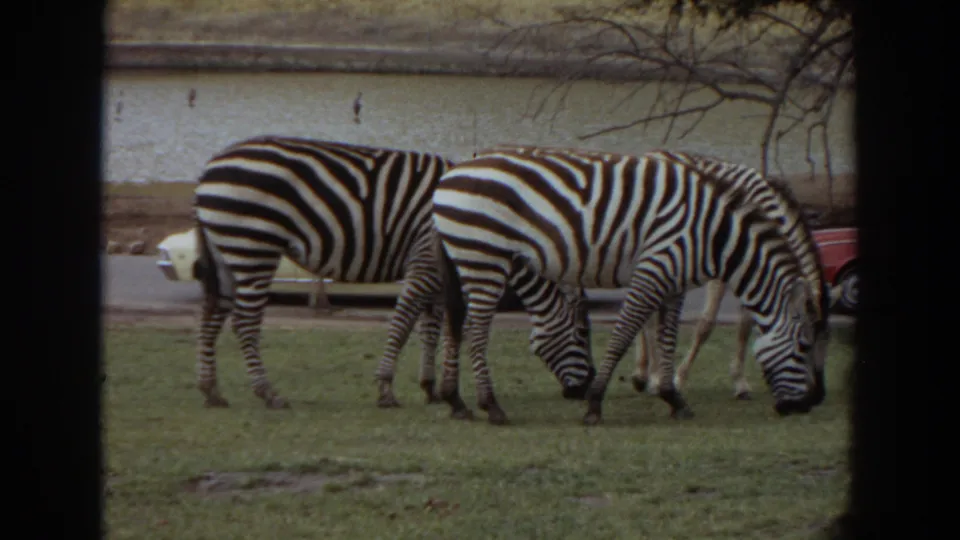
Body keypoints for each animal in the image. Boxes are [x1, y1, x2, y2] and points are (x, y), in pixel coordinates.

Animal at [191, 136, 595, 410]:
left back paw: (212, 391)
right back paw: (267, 393)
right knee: (244, 321)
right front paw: (386, 388)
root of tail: (209, 167)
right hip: (253, 246)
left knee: (213, 314)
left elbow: (431, 328)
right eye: (581, 335)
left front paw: (430, 388)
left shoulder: (437, 275)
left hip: (227, 249)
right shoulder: (426, 262)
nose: (585, 390)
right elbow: (404, 324)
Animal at [432, 146, 824, 425]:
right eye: (804, 346)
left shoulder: (675, 280)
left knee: (460, 324)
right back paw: (491, 406)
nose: (809, 404)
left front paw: (671, 395)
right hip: (485, 257)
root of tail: (450, 174)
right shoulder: (657, 266)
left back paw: (459, 401)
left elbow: (668, 335)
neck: (717, 234)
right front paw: (596, 403)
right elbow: (625, 332)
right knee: (476, 329)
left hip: (470, 258)